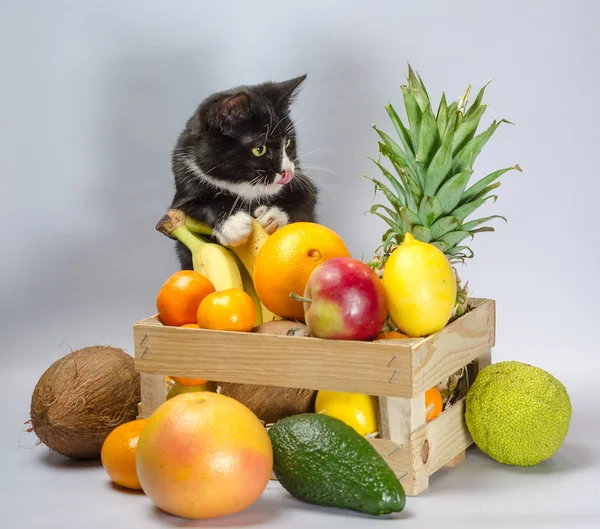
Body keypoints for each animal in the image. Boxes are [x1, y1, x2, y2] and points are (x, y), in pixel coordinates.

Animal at [169, 74, 318, 270]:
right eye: (259, 149)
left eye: (287, 143)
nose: (287, 173)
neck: (245, 188)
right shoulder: (185, 185)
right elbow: (200, 203)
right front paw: (234, 223)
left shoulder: (302, 180)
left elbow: (306, 200)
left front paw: (273, 216)